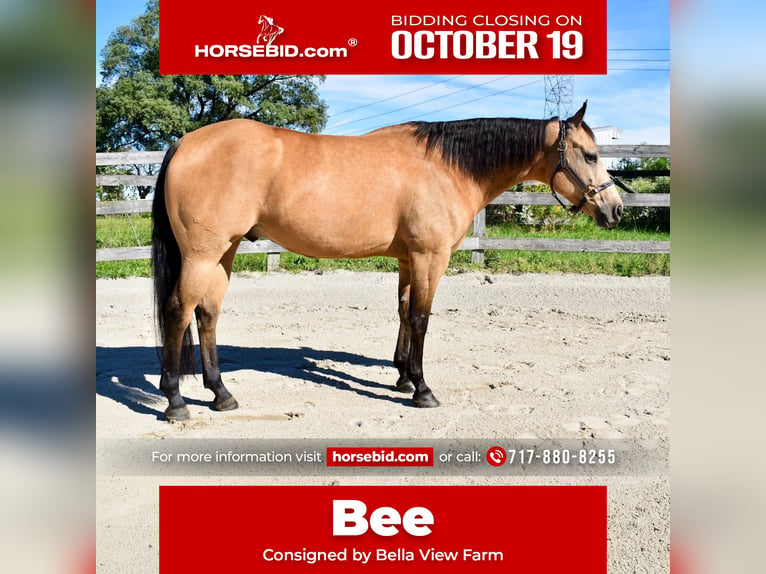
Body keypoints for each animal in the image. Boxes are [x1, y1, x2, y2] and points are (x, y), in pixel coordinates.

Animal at [151, 101, 623, 421]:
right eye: (591, 155)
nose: (616, 210)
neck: (447, 167)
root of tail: (185, 142)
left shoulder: (408, 259)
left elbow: (403, 310)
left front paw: (402, 375)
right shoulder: (430, 257)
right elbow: (421, 318)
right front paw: (422, 389)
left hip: (224, 252)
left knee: (207, 314)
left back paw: (221, 394)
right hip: (202, 254)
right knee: (178, 311)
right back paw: (175, 401)